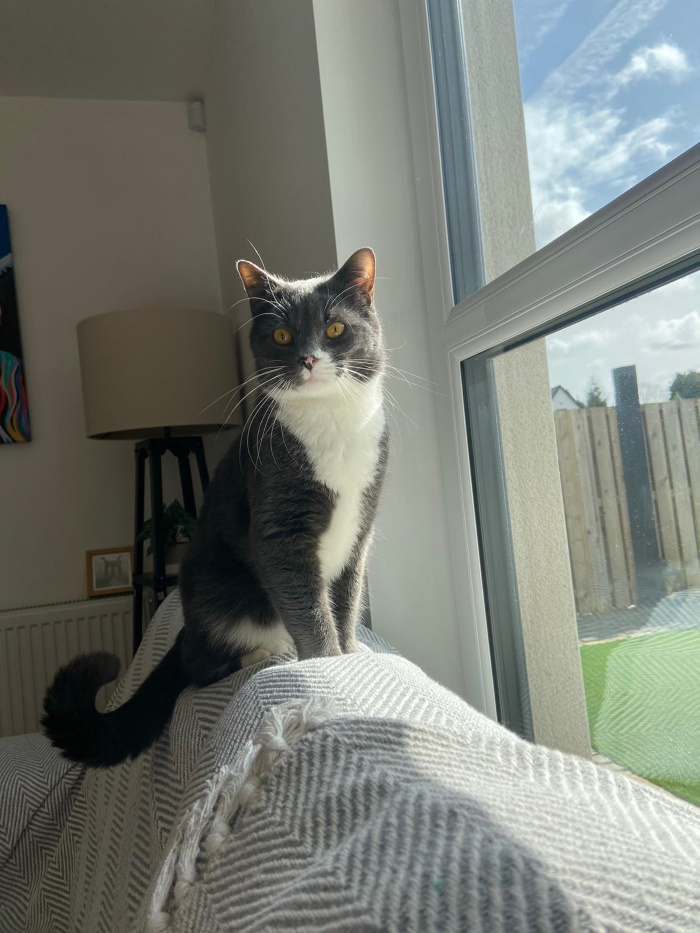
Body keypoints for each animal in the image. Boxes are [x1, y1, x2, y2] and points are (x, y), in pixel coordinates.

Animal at [42, 248, 389, 767]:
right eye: (281, 335)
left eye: (334, 329)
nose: (308, 358)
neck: (331, 423)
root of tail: (187, 629)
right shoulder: (279, 529)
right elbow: (307, 605)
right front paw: (328, 665)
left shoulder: (359, 530)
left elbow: (345, 600)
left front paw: (349, 653)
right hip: (211, 584)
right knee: (199, 668)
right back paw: (261, 654)